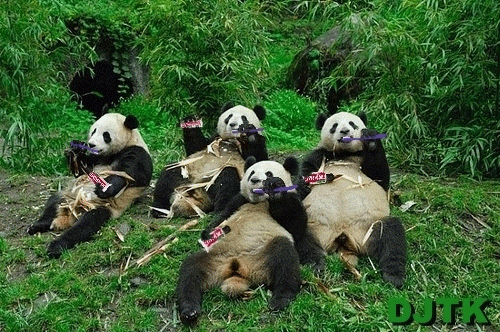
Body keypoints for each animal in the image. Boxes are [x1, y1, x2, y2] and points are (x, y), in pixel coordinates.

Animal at [26, 113, 152, 258]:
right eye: (93, 131)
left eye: (106, 135)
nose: (91, 144)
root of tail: (69, 215)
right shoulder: (96, 159)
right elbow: (81, 171)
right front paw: (75, 149)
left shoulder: (137, 152)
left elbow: (128, 174)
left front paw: (104, 189)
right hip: (68, 196)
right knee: (54, 202)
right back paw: (37, 225)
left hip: (101, 207)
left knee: (87, 224)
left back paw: (56, 246)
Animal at [178, 158, 306, 324]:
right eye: (251, 172)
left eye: (268, 174)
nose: (255, 180)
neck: (259, 203)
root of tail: (238, 267)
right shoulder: (239, 201)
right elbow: (222, 217)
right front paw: (207, 234)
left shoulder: (292, 201)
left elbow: (296, 227)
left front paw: (276, 187)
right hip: (215, 257)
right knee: (190, 271)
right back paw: (189, 310)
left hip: (263, 253)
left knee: (285, 260)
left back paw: (280, 299)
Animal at [296, 112, 406, 288]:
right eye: (334, 126)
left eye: (352, 124)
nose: (345, 131)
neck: (344, 155)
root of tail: (343, 238)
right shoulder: (319, 156)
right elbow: (304, 172)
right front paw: (303, 186)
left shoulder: (363, 158)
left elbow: (381, 178)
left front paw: (371, 139)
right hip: (316, 226)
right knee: (300, 232)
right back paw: (316, 264)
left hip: (368, 230)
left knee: (392, 233)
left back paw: (393, 276)